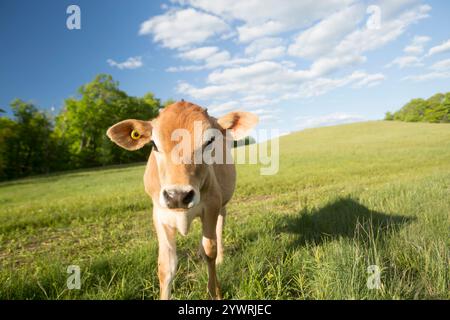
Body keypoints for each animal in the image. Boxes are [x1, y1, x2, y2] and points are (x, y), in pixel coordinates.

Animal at [107, 100, 258, 300]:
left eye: (209, 141)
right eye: (154, 144)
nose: (177, 196)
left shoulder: (212, 204)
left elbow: (209, 250)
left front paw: (215, 292)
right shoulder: (159, 214)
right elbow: (166, 265)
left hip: (222, 204)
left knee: (219, 227)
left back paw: (220, 258)